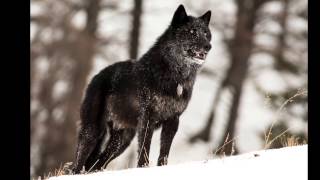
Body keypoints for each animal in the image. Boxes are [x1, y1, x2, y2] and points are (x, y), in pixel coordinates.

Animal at [73, 3, 212, 173]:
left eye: (206, 33)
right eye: (192, 32)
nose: (208, 46)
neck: (174, 74)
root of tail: (96, 76)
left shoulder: (173, 120)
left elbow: (164, 153)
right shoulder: (148, 119)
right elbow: (144, 149)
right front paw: (143, 169)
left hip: (122, 141)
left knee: (97, 163)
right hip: (92, 132)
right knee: (77, 164)